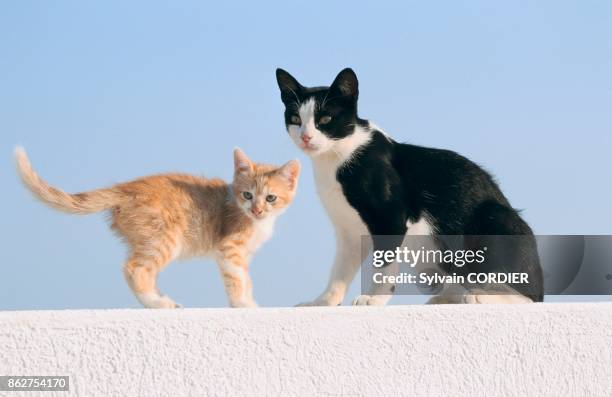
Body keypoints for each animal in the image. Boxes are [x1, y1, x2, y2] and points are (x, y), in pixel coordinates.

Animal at [14, 147, 302, 308]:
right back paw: (156, 303)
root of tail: (126, 187)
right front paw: (242, 304)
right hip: (164, 239)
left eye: (271, 198)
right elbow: (236, 279)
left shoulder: (244, 254)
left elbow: (246, 279)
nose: (257, 210)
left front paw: (250, 301)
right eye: (247, 195)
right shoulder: (230, 249)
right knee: (134, 269)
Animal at [274, 67, 544, 304]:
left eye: (325, 118)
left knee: (529, 296)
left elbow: (384, 265)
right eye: (295, 118)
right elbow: (340, 271)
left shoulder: (389, 217)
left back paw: (482, 296)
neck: (336, 158)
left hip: (494, 218)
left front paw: (374, 300)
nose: (306, 137)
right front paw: (323, 302)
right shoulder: (348, 231)